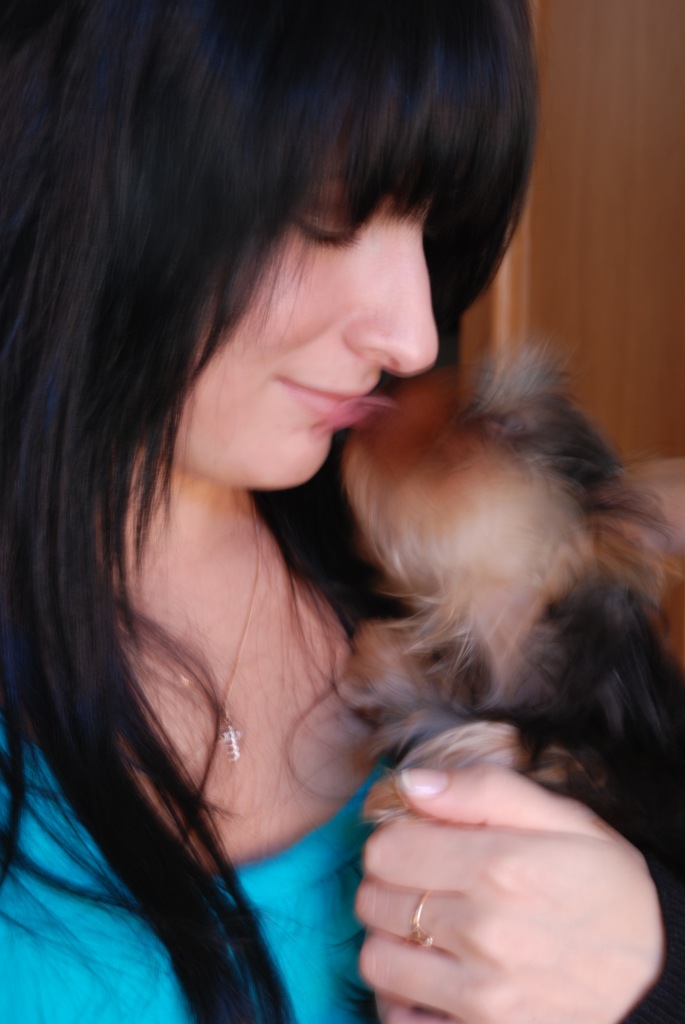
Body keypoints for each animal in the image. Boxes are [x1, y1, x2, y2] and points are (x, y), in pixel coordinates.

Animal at [340, 349, 685, 881]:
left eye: (504, 424)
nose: (394, 384)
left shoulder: (633, 781)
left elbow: (534, 750)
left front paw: (411, 785)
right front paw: (381, 662)